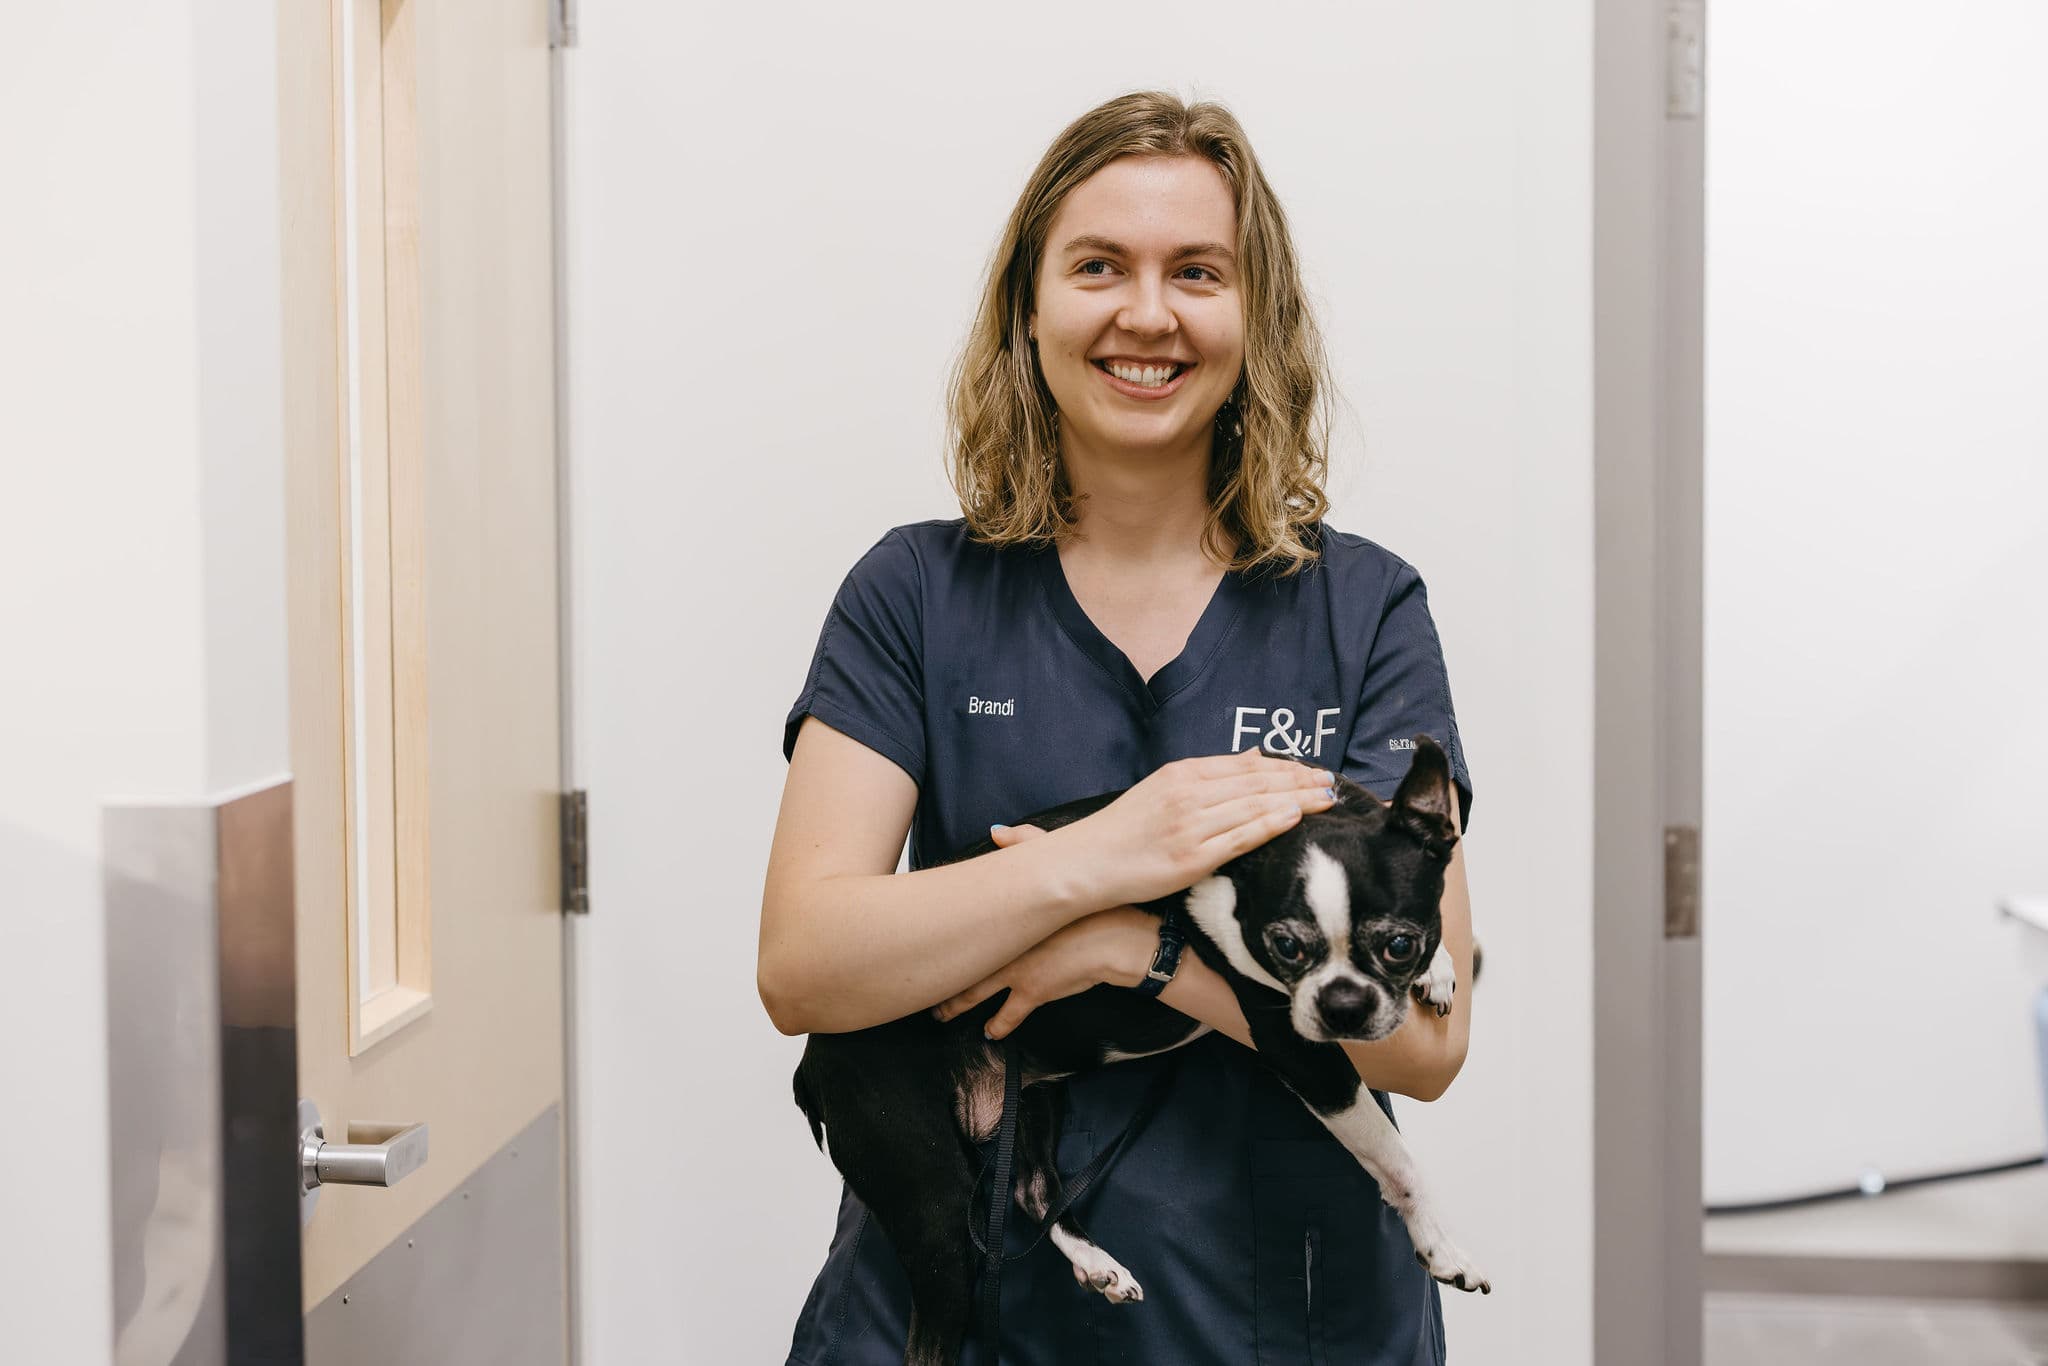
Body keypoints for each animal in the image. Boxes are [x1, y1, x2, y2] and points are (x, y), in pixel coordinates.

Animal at [790, 737, 1482, 1366]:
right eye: (1285, 947)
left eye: (1400, 943)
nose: (1344, 1006)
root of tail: (810, 1060)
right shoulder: (1298, 1048)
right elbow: (1394, 1156)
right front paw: (1439, 1242)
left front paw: (1442, 968)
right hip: (931, 1200)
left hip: (1031, 1095)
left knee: (1033, 1190)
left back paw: (1098, 1264)